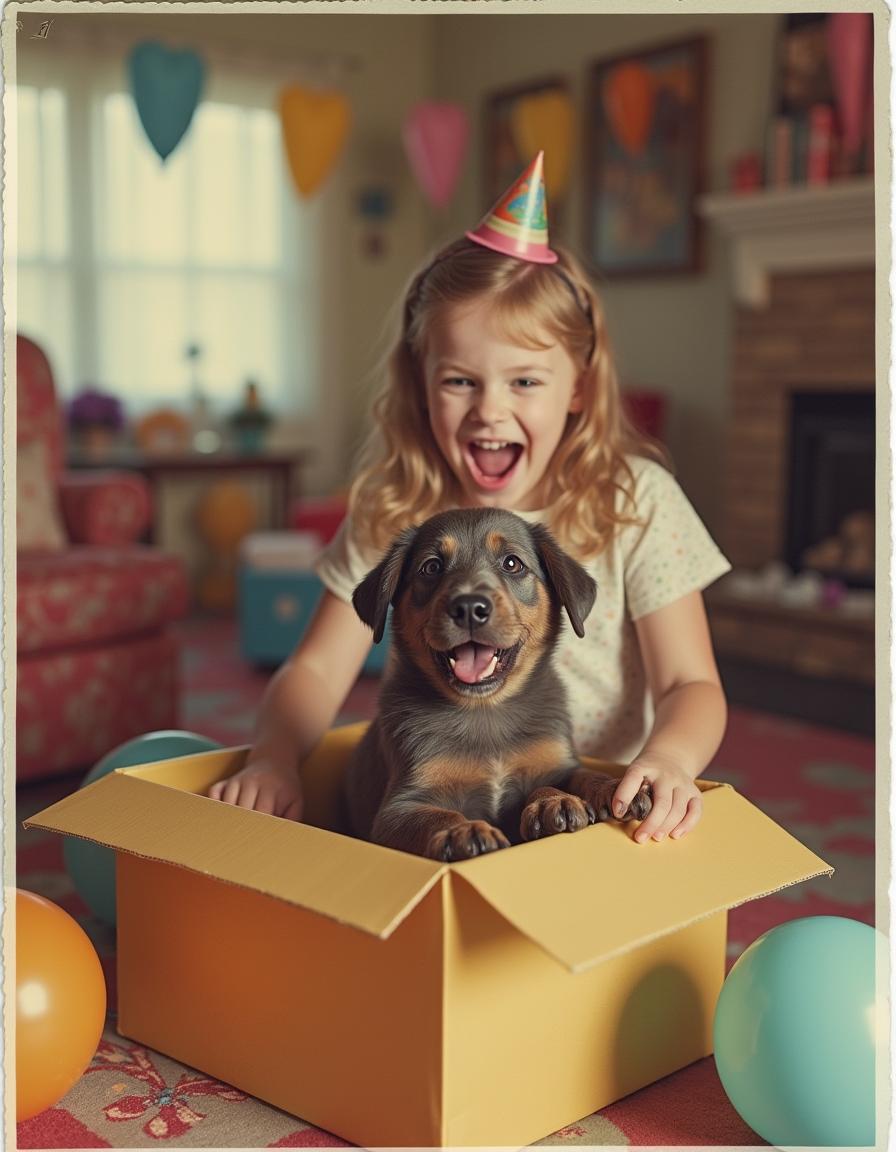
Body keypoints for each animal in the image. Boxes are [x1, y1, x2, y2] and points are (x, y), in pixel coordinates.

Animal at [343, 509, 649, 861]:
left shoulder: (558, 762)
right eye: (431, 567)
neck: (485, 711)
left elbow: (582, 774)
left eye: (512, 564)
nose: (469, 608)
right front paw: (463, 830)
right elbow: (436, 815)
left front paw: (575, 795)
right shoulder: (399, 808)